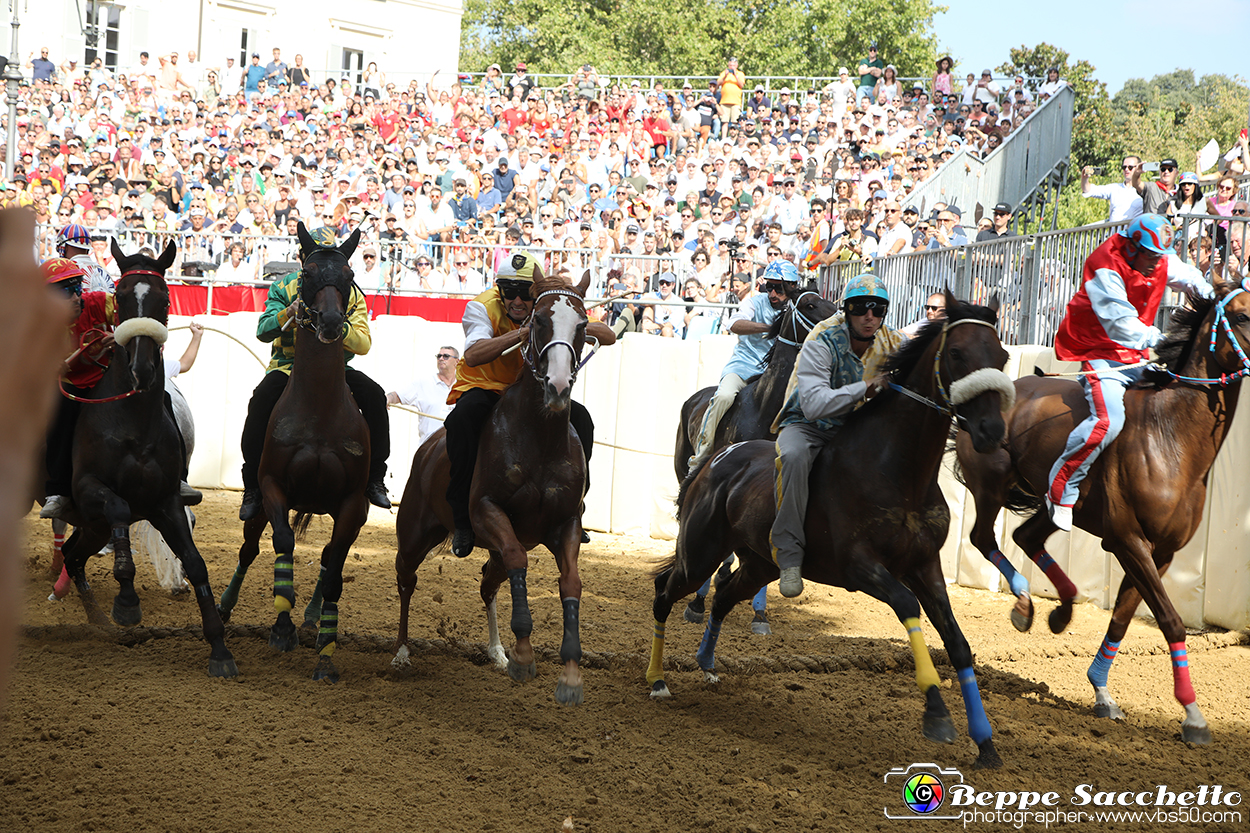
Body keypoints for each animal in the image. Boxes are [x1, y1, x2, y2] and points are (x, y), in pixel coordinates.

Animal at [56, 238, 237, 675]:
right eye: (122, 296)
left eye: (164, 297)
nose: (141, 368)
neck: (132, 423)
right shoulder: (88, 488)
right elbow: (120, 508)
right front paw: (126, 601)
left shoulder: (165, 500)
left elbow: (195, 561)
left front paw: (219, 649)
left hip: (92, 526)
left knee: (74, 555)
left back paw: (97, 620)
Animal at [395, 268, 595, 705]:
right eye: (539, 321)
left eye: (583, 326)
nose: (558, 385)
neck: (538, 438)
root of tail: (428, 447)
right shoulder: (487, 511)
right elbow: (520, 559)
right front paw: (524, 656)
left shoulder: (565, 524)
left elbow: (570, 581)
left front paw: (570, 674)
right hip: (415, 533)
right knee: (406, 580)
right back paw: (401, 652)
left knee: (489, 583)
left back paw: (496, 651)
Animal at [645, 295, 1015, 770]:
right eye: (956, 353)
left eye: (1001, 356)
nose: (991, 431)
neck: (897, 471)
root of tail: (717, 459)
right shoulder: (859, 567)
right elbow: (906, 604)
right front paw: (936, 713)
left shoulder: (924, 564)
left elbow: (958, 642)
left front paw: (985, 743)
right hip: (700, 550)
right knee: (665, 590)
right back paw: (657, 679)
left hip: (759, 563)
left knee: (725, 594)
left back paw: (707, 662)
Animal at [945, 275, 1250, 740]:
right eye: (1244, 314)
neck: (1171, 436)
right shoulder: (1128, 540)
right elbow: (1170, 619)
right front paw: (1193, 716)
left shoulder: (1160, 551)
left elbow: (1123, 618)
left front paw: (1103, 693)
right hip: (992, 484)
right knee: (984, 537)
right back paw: (1024, 604)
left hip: (1056, 503)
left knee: (1026, 535)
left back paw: (1059, 608)